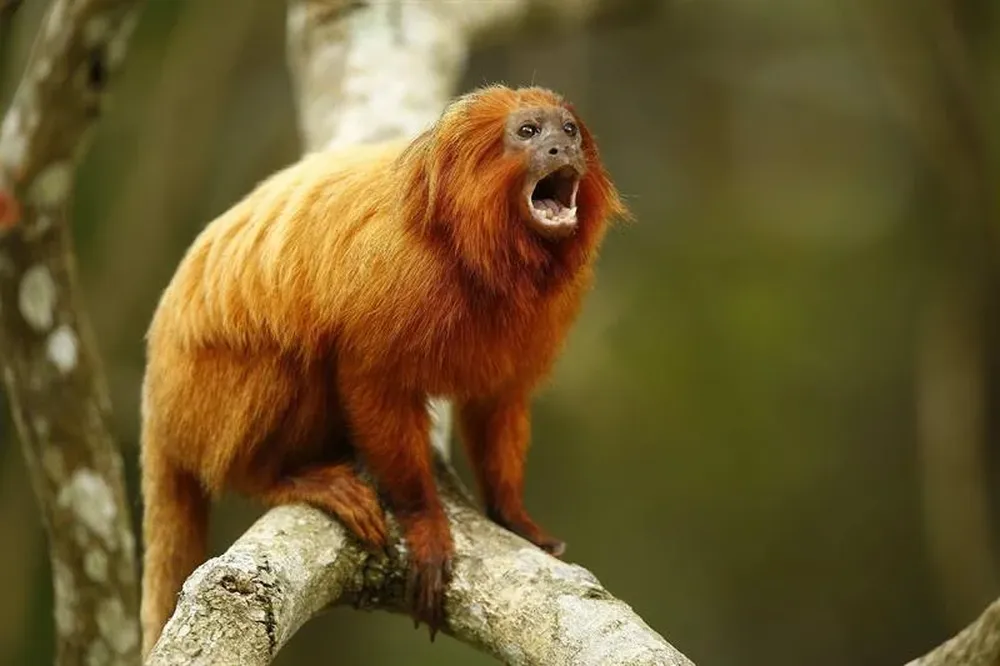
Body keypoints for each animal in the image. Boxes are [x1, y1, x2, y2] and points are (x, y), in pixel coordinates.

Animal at [139, 84, 629, 657]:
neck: (472, 249)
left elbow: (497, 400)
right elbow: (370, 381)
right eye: (529, 132)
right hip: (204, 399)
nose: (560, 149)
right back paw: (280, 478)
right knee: (289, 359)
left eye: (568, 131)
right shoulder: (397, 274)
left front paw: (513, 516)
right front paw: (425, 525)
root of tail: (157, 392)